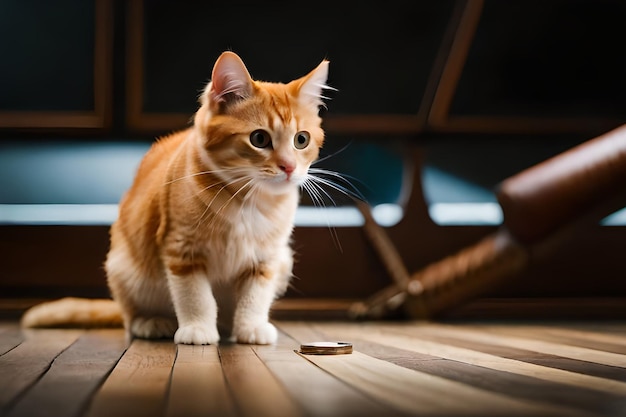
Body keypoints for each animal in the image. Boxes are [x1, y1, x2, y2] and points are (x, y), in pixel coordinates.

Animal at [20, 51, 332, 344]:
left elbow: (254, 297)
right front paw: (197, 328)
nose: (289, 167)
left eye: (301, 140)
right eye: (259, 139)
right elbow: (195, 296)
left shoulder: (267, 259)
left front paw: (250, 327)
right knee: (129, 316)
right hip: (123, 269)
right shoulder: (181, 249)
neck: (248, 201)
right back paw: (151, 322)